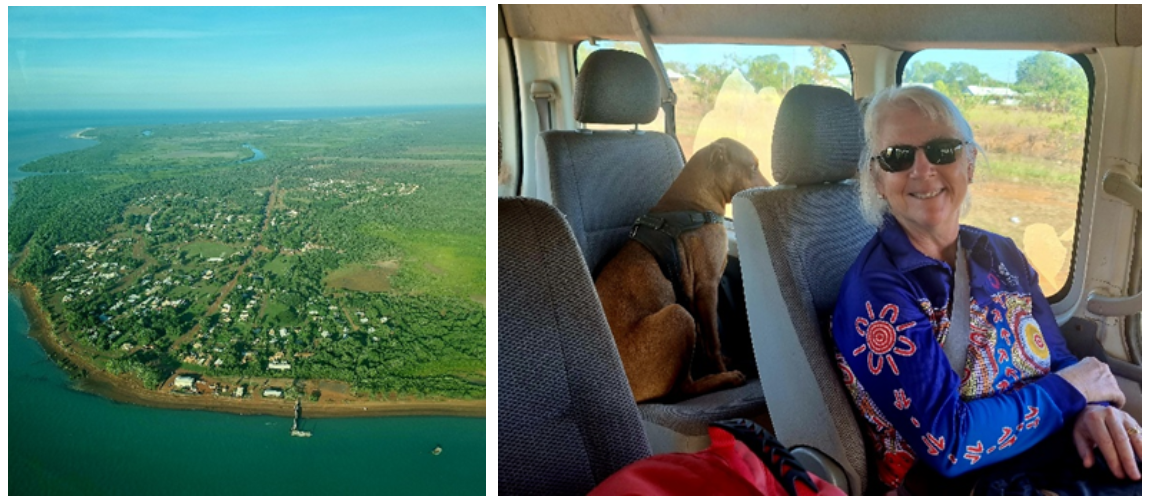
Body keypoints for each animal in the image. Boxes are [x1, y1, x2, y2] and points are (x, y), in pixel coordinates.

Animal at [593, 138, 773, 402]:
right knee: (683, 388)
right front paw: (721, 368)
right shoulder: (706, 288)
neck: (692, 205)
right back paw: (723, 379)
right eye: (753, 167)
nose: (770, 190)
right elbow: (713, 340)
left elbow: (705, 337)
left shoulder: (694, 297)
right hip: (678, 315)